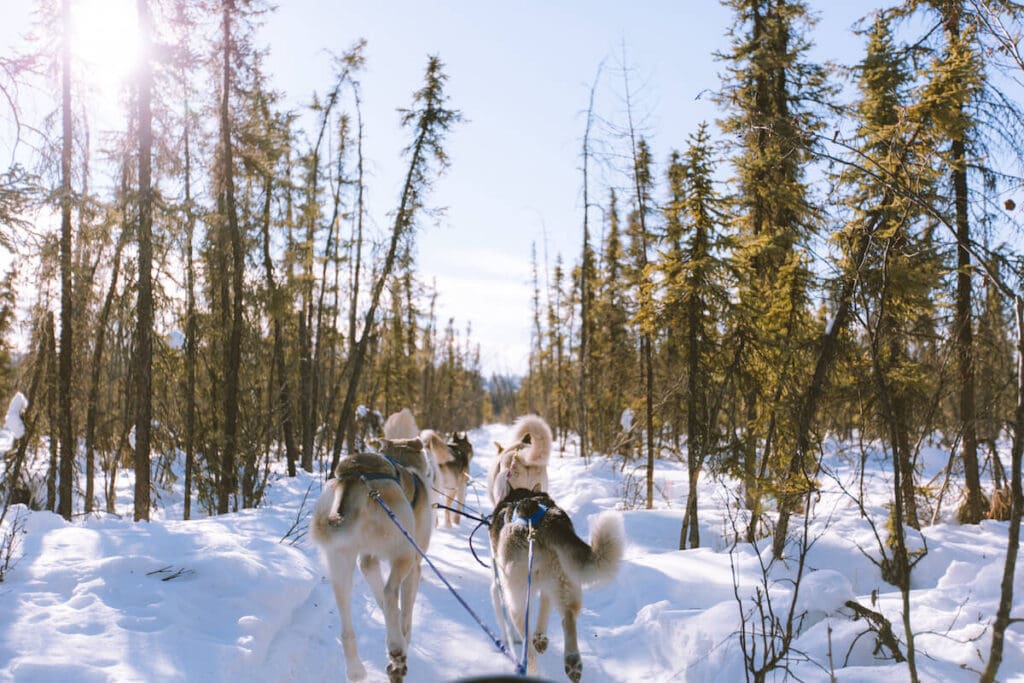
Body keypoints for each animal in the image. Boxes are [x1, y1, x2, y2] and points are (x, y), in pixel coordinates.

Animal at [313, 438, 438, 683]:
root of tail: (355, 478)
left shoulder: (368, 561)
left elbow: (385, 602)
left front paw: (393, 621)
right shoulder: (413, 566)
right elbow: (404, 611)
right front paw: (403, 635)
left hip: (341, 566)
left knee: (347, 627)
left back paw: (355, 670)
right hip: (404, 553)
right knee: (390, 592)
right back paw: (397, 649)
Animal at [487, 485, 622, 683]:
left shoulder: (499, 588)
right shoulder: (547, 589)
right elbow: (544, 610)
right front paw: (540, 638)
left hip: (518, 596)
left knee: (527, 642)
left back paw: (531, 668)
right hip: (564, 582)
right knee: (568, 616)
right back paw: (572, 662)